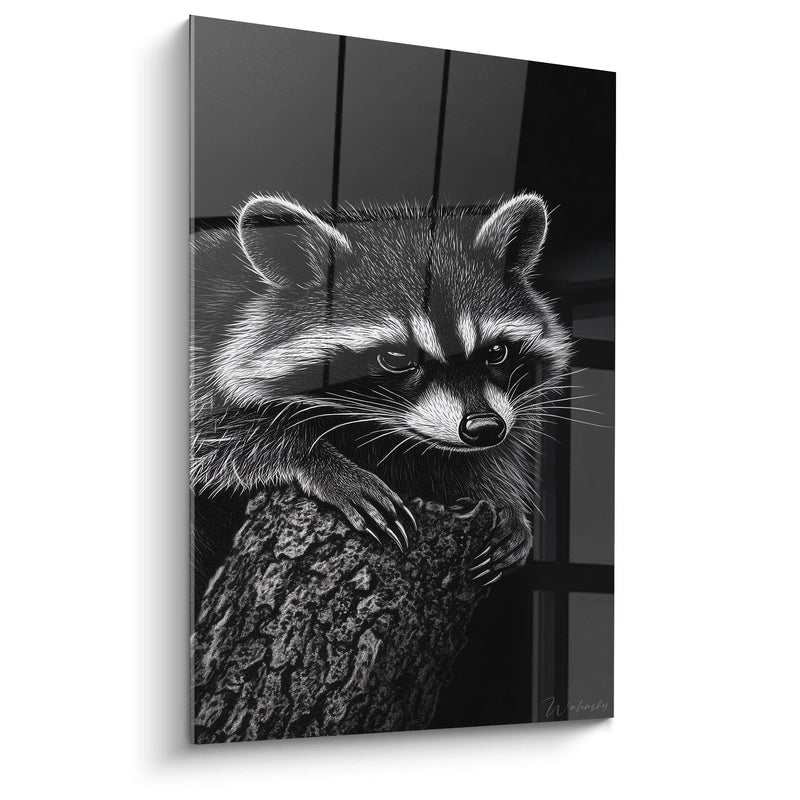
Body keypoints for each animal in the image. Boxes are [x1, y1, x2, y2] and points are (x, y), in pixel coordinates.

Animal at [191, 193, 571, 586]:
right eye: (396, 358)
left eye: (496, 352)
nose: (484, 428)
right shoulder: (202, 344)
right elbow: (219, 433)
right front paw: (317, 460)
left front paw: (502, 499)